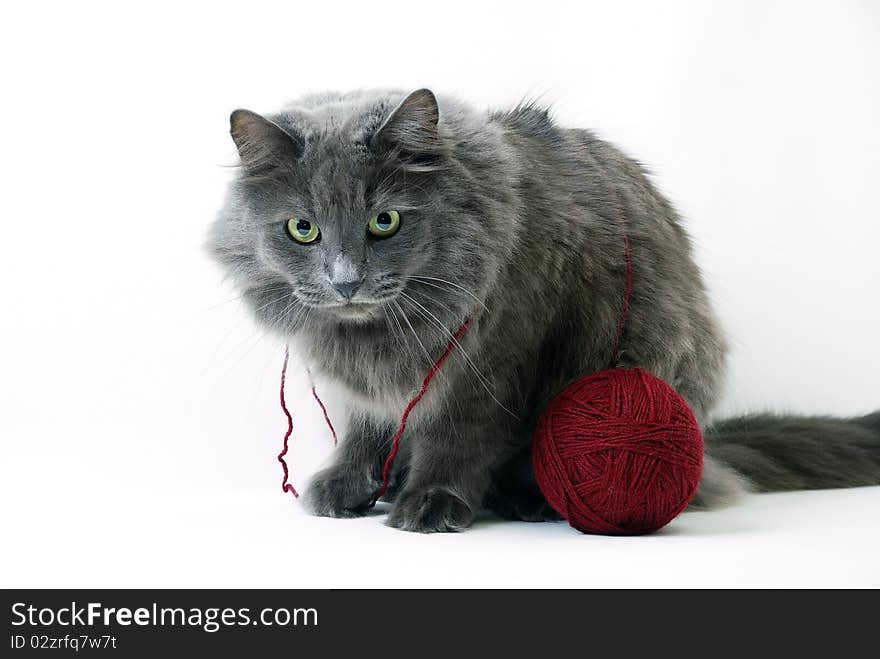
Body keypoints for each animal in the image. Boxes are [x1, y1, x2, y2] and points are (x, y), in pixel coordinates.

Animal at [208, 89, 880, 532]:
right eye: (302, 229)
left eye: (385, 221)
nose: (346, 282)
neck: (374, 336)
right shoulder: (363, 388)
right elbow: (363, 431)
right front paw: (348, 488)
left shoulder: (495, 361)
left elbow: (455, 438)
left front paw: (431, 503)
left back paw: (523, 501)